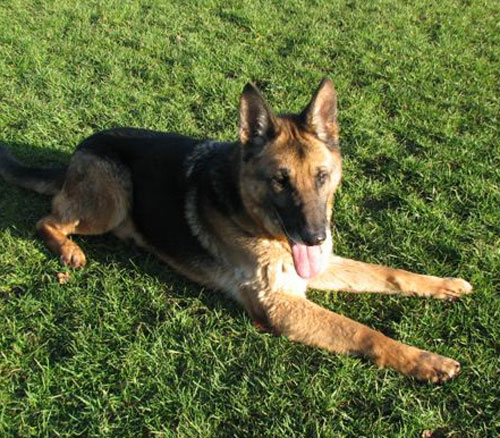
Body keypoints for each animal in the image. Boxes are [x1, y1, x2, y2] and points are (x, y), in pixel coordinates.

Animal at [0, 78, 472, 384]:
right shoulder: (280, 305)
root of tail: (78, 151)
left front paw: (442, 284)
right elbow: (362, 331)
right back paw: (68, 250)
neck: (259, 224)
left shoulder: (316, 268)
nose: (315, 237)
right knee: (47, 219)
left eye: (322, 177)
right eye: (280, 181)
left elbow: (391, 274)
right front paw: (423, 359)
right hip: (110, 200)